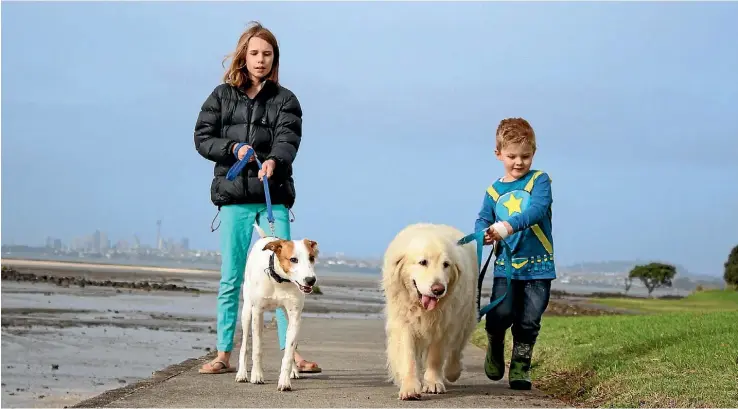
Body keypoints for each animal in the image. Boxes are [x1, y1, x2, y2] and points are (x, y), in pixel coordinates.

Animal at [234, 223, 318, 392]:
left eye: (312, 258)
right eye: (293, 259)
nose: (311, 280)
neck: (280, 280)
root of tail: (267, 237)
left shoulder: (295, 317)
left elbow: (289, 351)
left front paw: (285, 381)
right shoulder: (257, 312)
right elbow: (257, 348)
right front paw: (257, 376)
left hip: (286, 316)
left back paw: (293, 371)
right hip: (247, 311)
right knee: (244, 345)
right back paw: (242, 374)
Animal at [380, 223, 478, 398]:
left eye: (446, 264)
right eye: (423, 262)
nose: (438, 289)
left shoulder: (444, 324)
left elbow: (436, 356)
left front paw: (433, 383)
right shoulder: (404, 322)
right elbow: (408, 355)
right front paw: (410, 387)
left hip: (465, 317)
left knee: (456, 348)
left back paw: (452, 372)